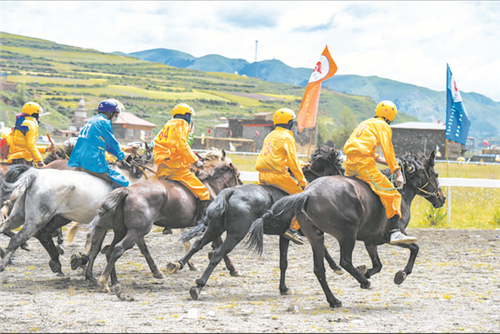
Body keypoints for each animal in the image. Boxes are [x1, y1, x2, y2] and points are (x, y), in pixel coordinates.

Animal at [0, 150, 156, 276]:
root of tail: (35, 175)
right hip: (37, 220)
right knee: (19, 239)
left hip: (20, 217)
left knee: (18, 230)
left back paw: (55, 260)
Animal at [80, 160, 242, 292]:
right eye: (238, 177)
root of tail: (128, 190)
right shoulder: (213, 226)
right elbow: (221, 247)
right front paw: (233, 269)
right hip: (137, 231)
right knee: (117, 249)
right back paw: (104, 282)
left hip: (122, 231)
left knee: (109, 251)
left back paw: (114, 281)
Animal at [166, 146, 346, 300]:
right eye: (340, 166)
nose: (344, 177)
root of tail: (230, 191)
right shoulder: (308, 230)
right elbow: (324, 250)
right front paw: (336, 267)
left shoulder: (284, 235)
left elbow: (283, 262)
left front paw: (283, 288)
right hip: (235, 234)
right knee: (217, 254)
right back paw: (199, 285)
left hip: (215, 228)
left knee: (197, 244)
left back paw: (178, 263)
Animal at [248, 151, 448, 308]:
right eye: (436, 173)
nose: (442, 198)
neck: (401, 192)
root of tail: (308, 193)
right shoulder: (392, 236)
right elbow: (414, 248)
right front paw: (401, 274)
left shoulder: (370, 241)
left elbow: (378, 265)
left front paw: (366, 270)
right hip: (347, 235)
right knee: (344, 261)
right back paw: (363, 282)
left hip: (316, 236)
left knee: (319, 269)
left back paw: (334, 300)